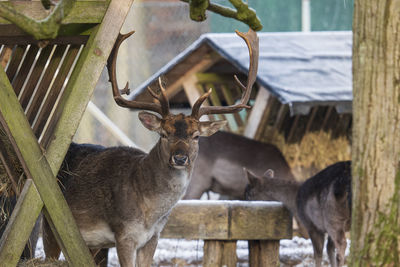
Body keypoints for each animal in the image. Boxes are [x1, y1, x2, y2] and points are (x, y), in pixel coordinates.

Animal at [42, 29, 258, 267]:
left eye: (196, 136)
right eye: (163, 134)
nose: (180, 158)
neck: (150, 215)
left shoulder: (154, 236)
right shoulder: (124, 233)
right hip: (50, 223)